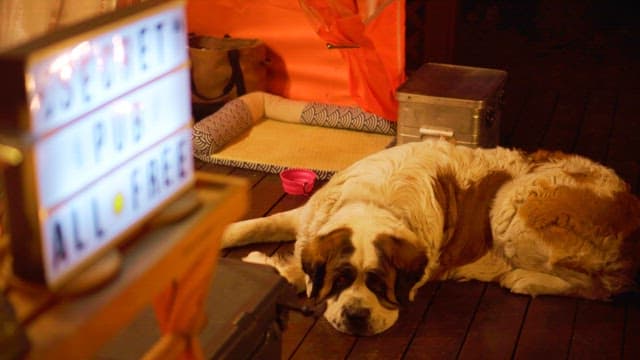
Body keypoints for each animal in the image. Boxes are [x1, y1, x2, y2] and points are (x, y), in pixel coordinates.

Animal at [220, 139, 640, 336]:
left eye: (380, 285)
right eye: (340, 280)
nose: (356, 316)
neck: (373, 201)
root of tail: (630, 205)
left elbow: (289, 271)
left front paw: (265, 266)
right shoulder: (308, 218)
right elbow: (258, 224)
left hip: (511, 202)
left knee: (598, 287)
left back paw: (523, 279)